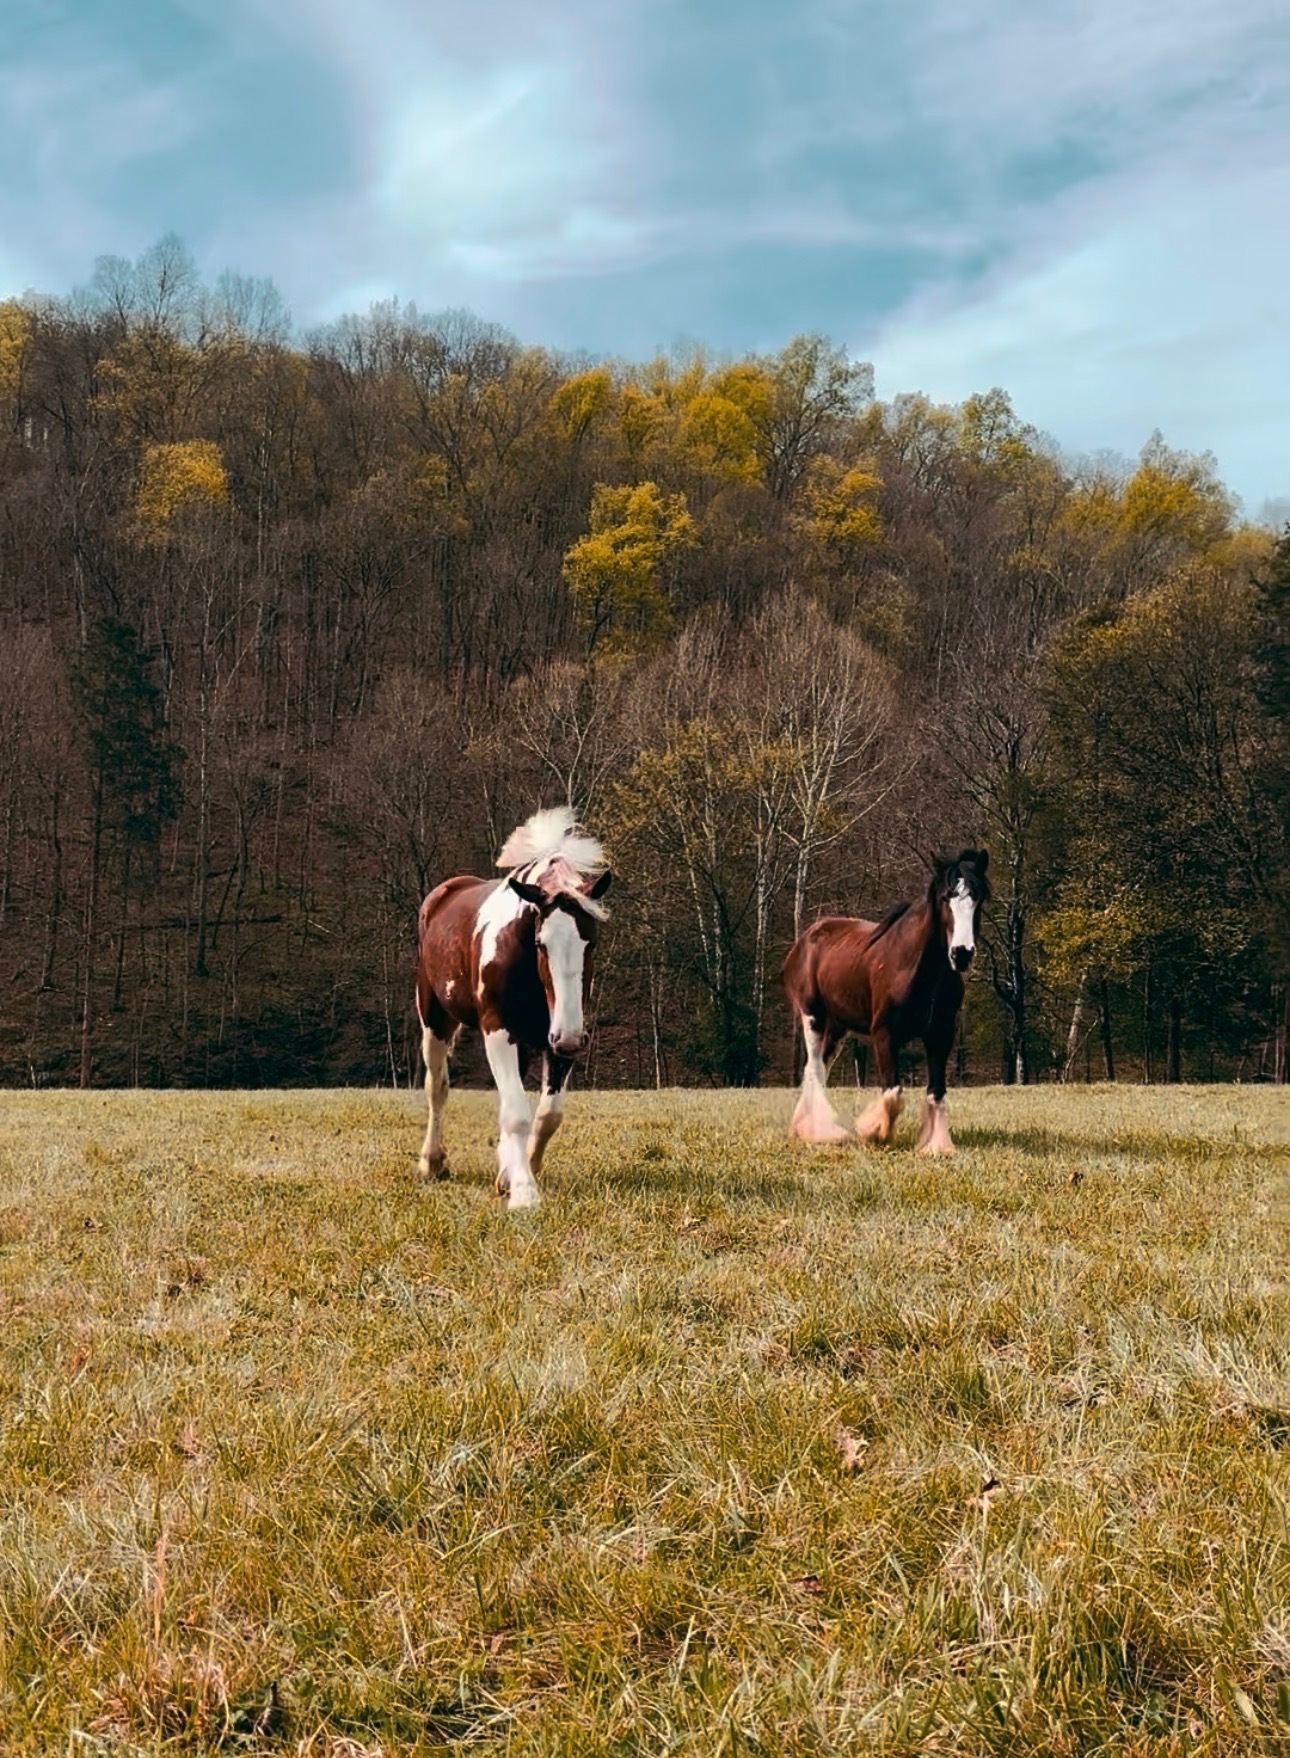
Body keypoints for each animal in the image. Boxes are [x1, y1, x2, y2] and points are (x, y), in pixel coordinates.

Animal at [414, 807, 611, 1210]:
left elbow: (547, 1115)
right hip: (434, 1018)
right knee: (437, 1087)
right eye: (541, 942)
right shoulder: (498, 1031)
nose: (569, 1039)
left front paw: (515, 1175)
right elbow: (517, 1114)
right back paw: (433, 1162)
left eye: (591, 942)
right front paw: (523, 1193)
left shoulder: (560, 1035)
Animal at [782, 849, 990, 1155]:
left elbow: (936, 1092)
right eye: (945, 897)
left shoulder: (941, 1034)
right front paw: (873, 1132)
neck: (916, 969)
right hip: (813, 1017)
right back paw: (819, 1130)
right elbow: (892, 1093)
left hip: (837, 1027)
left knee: (816, 1067)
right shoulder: (884, 1034)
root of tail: (804, 941)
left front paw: (935, 1146)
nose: (961, 954)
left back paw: (803, 1126)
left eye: (978, 898)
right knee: (816, 1068)